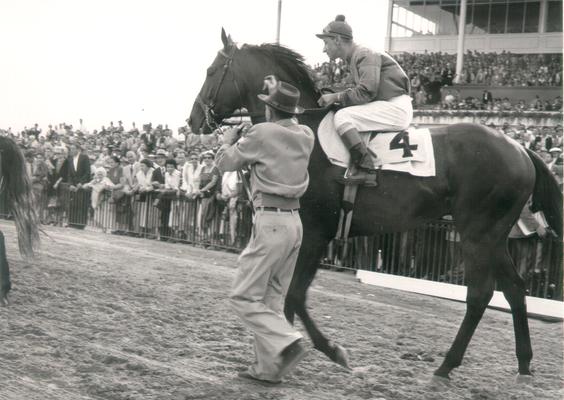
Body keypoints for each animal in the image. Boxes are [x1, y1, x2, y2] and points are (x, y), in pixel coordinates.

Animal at [188, 28, 560, 382]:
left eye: (210, 71)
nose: (192, 121)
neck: (301, 128)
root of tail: (520, 149)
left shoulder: (315, 233)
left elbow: (293, 296)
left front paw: (319, 352)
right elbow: (286, 297)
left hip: (476, 235)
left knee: (480, 294)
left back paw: (445, 367)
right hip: (495, 237)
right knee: (514, 289)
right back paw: (523, 365)